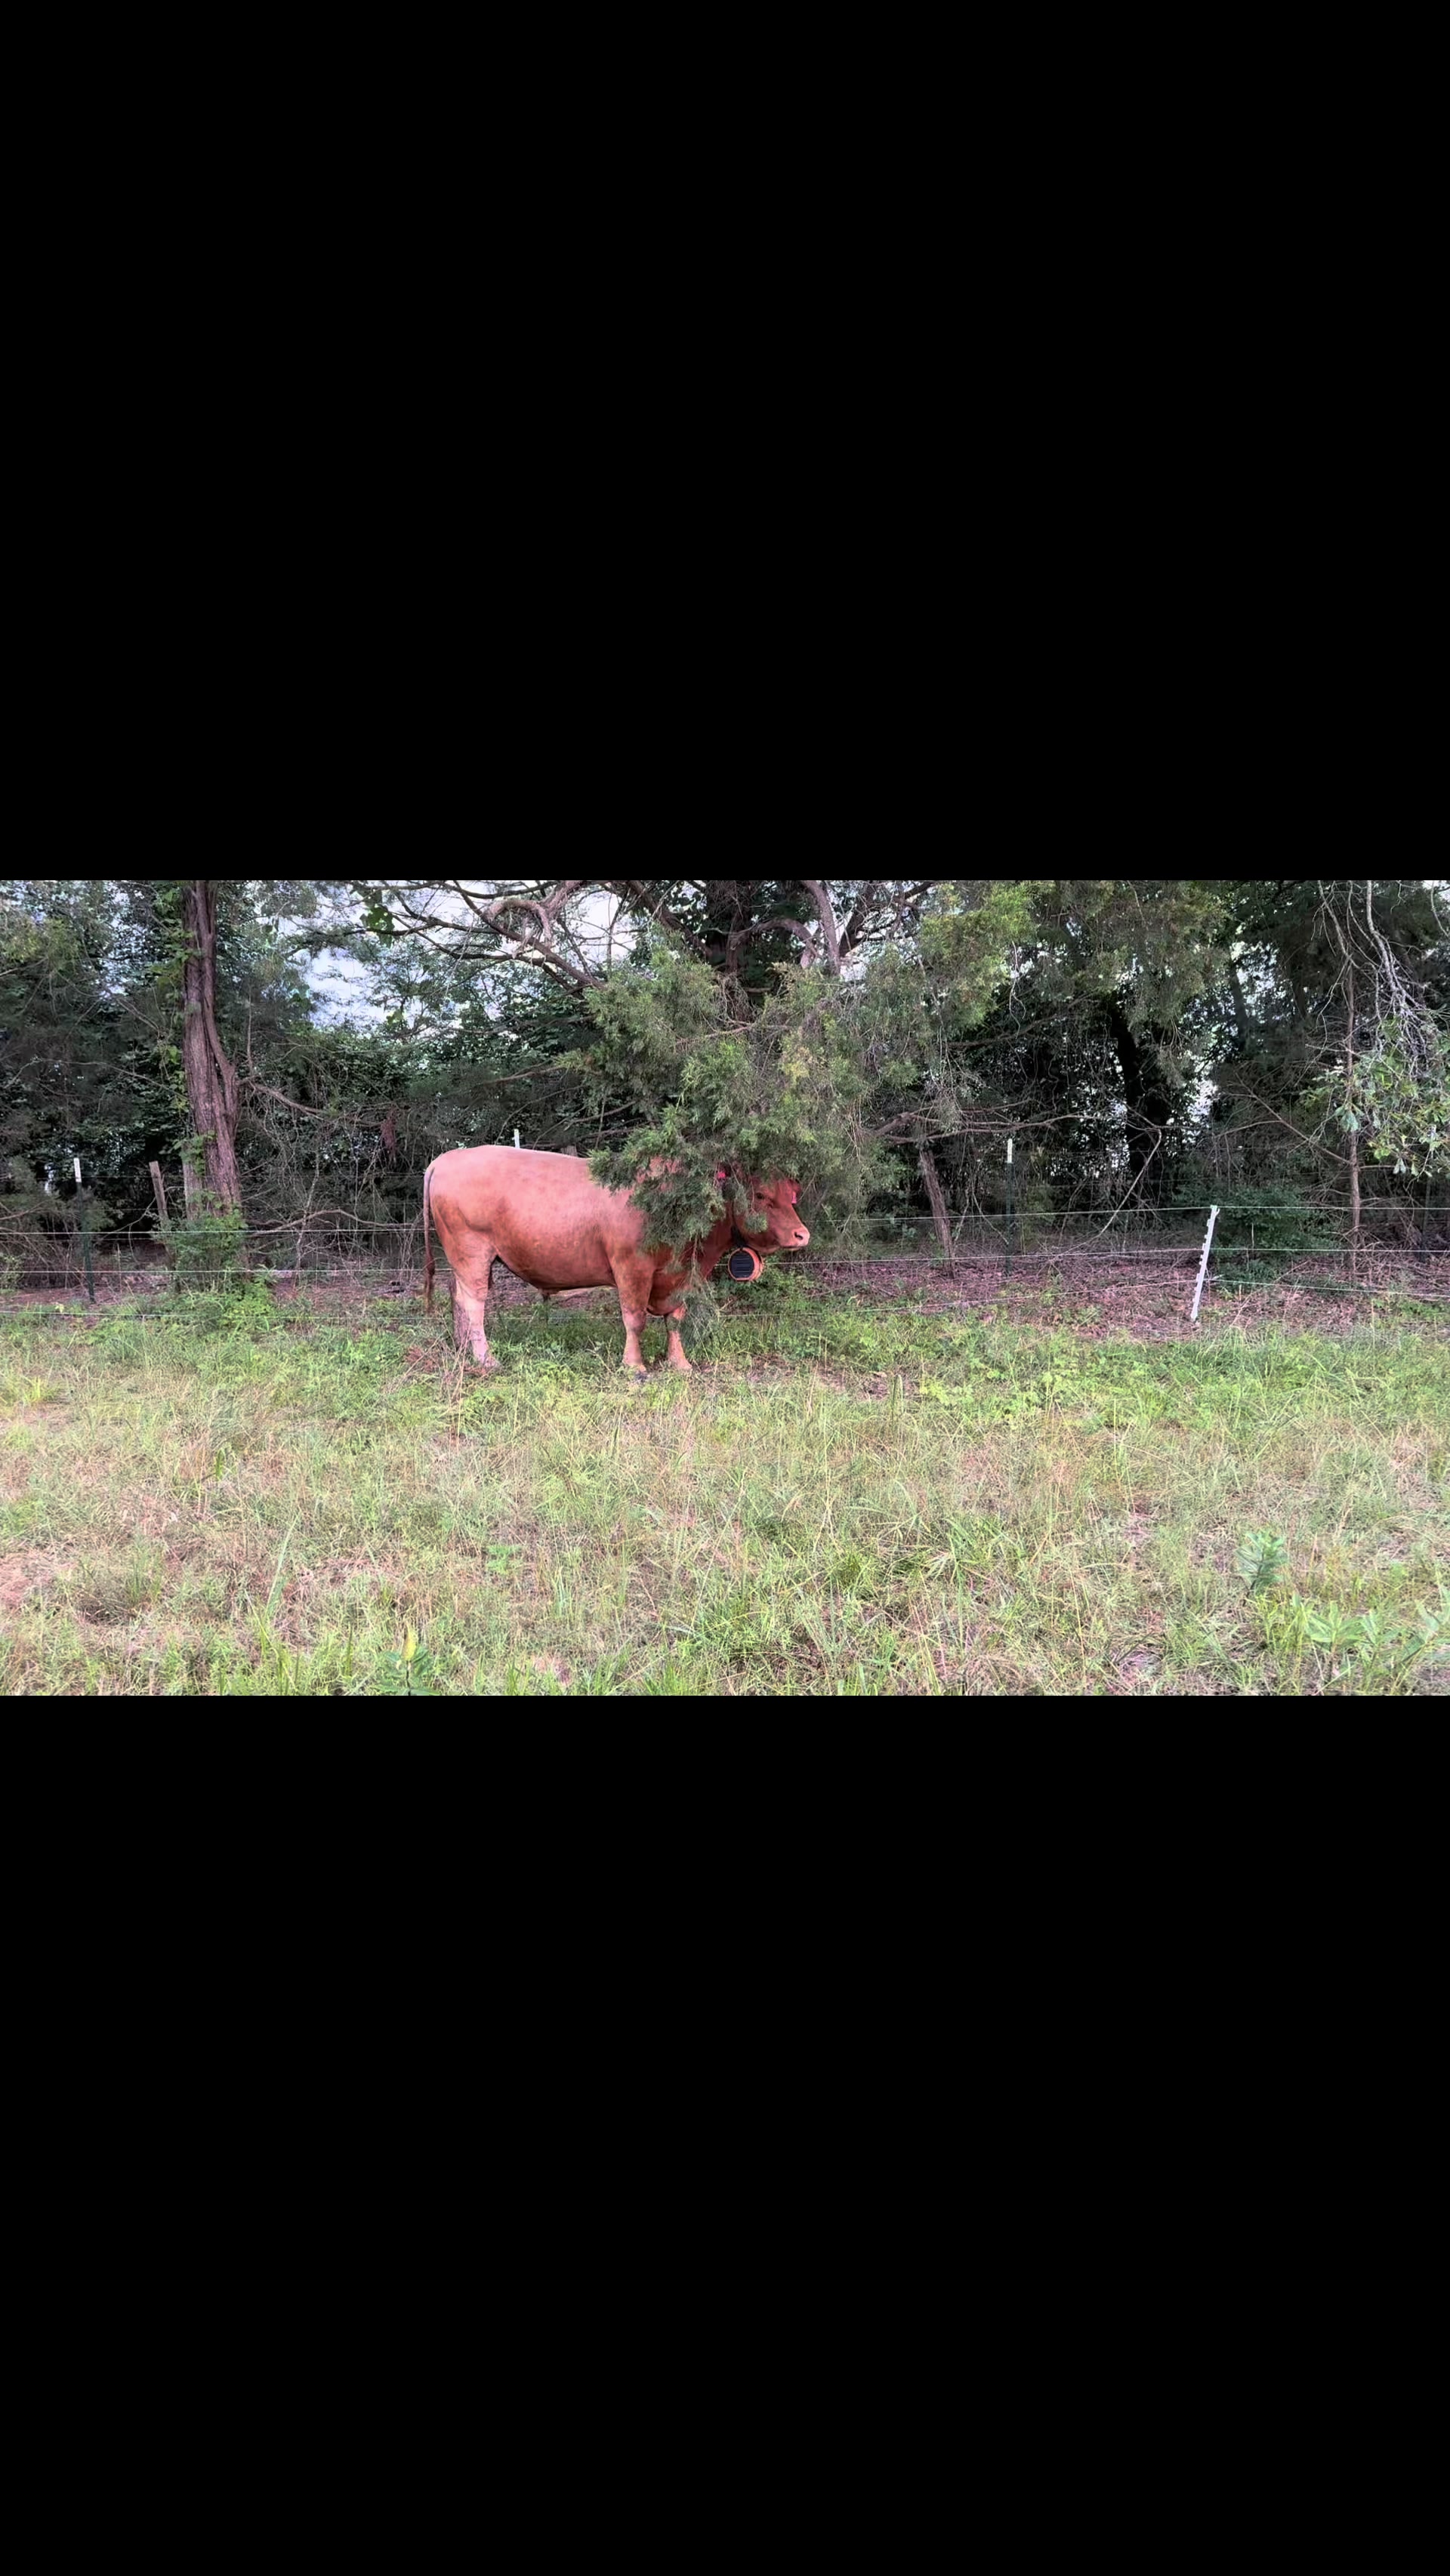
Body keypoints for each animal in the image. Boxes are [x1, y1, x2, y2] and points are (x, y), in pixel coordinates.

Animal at [422, 1146, 810, 1378]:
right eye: (761, 1195)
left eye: (791, 1194)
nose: (801, 1234)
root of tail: (447, 1158)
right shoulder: (632, 1267)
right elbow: (635, 1319)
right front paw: (635, 1367)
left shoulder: (681, 1276)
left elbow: (675, 1320)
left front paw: (679, 1364)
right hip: (471, 1250)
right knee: (473, 1303)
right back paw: (485, 1359)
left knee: (457, 1297)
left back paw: (463, 1350)